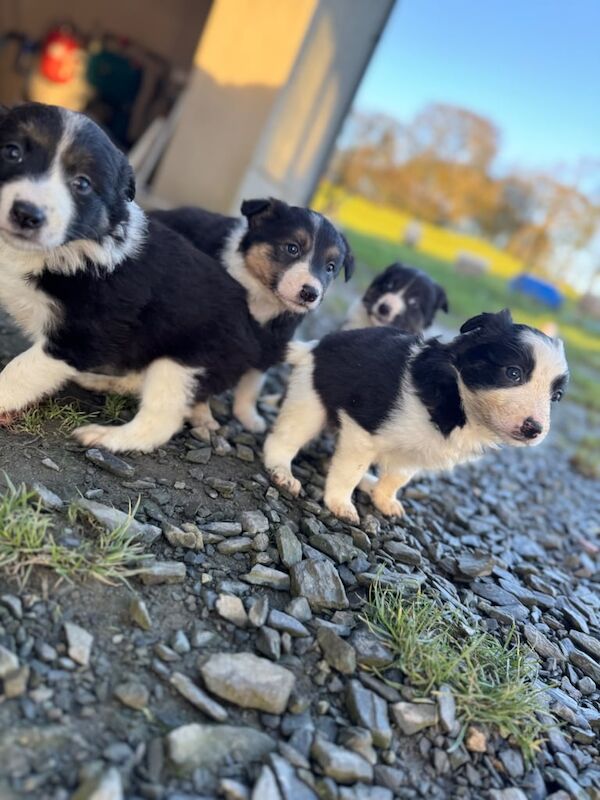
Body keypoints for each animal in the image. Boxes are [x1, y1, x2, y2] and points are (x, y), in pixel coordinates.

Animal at [150, 203, 354, 434]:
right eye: (292, 248)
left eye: (330, 267)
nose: (310, 293)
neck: (261, 292)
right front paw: (202, 416)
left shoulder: (272, 343)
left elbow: (253, 384)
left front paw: (247, 416)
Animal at [264, 308, 568, 524]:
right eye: (513, 373)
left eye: (556, 397)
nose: (534, 429)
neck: (458, 399)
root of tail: (312, 348)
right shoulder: (363, 430)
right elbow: (350, 471)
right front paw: (340, 503)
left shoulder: (414, 453)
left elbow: (398, 477)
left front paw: (384, 499)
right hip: (309, 403)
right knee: (282, 439)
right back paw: (282, 471)